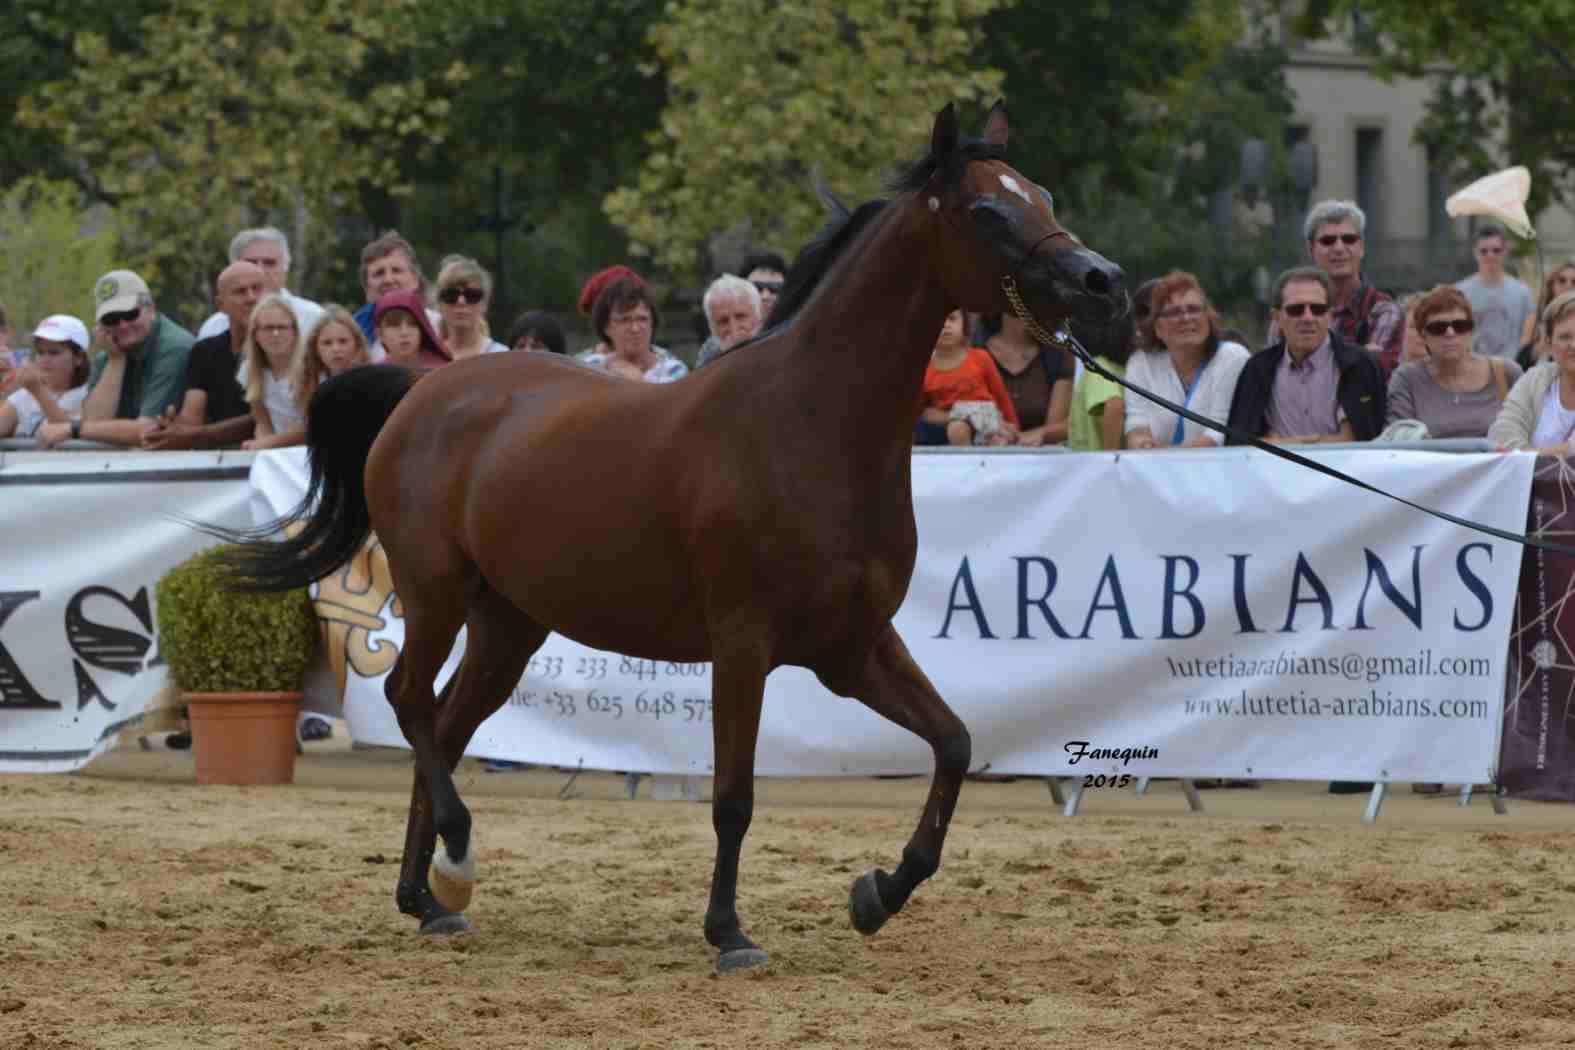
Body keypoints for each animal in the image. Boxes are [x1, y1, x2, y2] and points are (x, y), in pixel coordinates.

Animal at [225, 102, 1134, 976]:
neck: (808, 425)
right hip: (436, 592)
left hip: (507, 625)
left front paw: (877, 893)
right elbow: (733, 796)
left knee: (444, 728)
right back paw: (455, 857)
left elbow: (953, 743)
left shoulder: (852, 647)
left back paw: (430, 897)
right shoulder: (743, 643)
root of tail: (422, 390)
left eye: (1042, 196)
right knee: (409, 701)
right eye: (988, 210)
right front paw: (730, 934)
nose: (1105, 284)